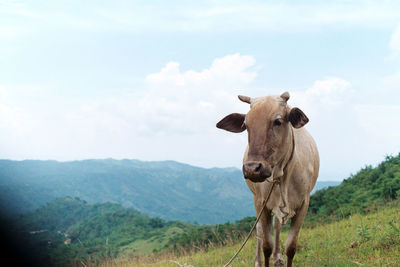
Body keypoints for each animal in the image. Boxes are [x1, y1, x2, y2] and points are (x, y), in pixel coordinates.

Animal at [214, 92, 320, 267]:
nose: (252, 168)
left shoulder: (304, 203)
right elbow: (266, 246)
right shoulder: (261, 202)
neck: (281, 175)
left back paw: (278, 257)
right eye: (246, 125)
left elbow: (291, 246)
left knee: (277, 225)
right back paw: (258, 261)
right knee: (259, 230)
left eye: (277, 121)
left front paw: (282, 255)